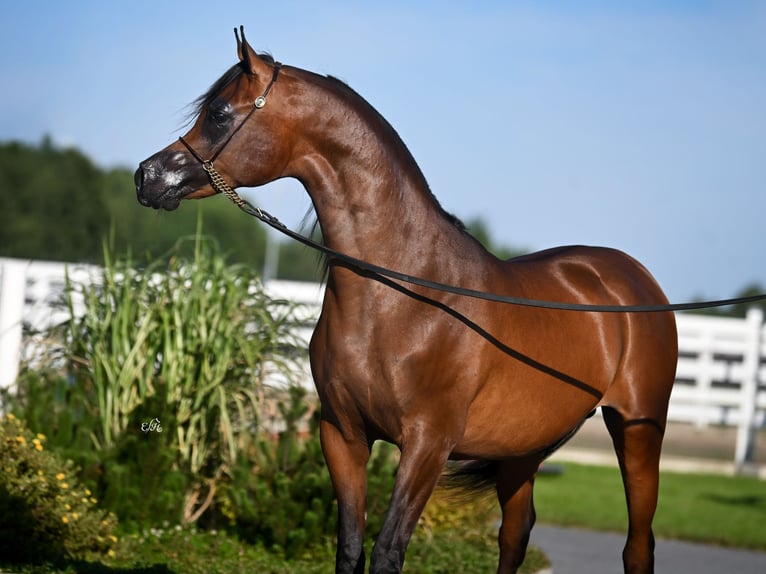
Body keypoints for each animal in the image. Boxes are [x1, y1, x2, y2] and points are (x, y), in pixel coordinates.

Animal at [136, 28, 680, 574]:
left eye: (219, 113)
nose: (147, 176)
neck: (404, 297)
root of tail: (632, 278)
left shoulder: (427, 445)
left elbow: (387, 551)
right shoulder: (342, 435)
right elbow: (350, 548)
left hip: (638, 430)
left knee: (637, 544)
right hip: (522, 447)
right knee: (515, 534)